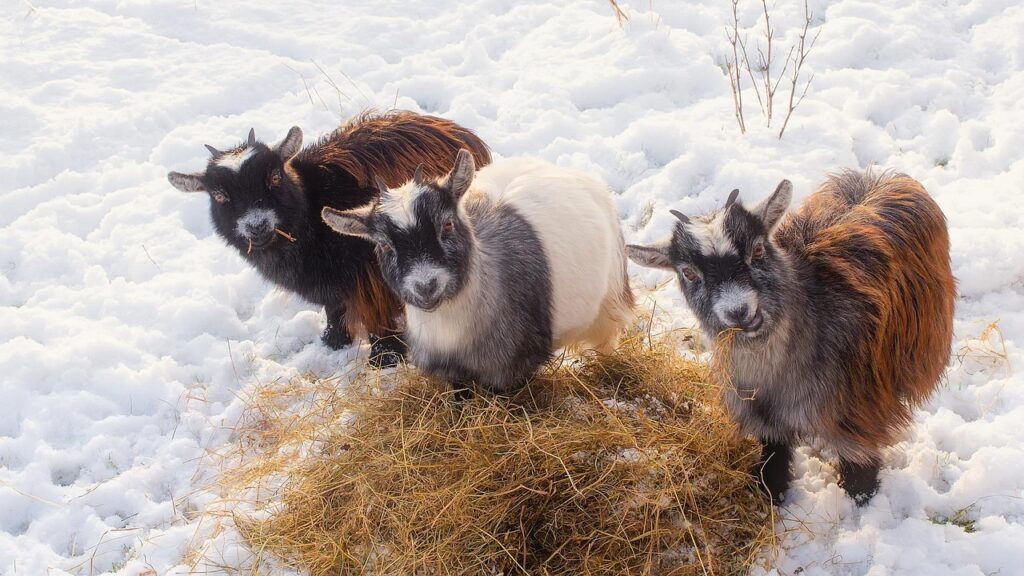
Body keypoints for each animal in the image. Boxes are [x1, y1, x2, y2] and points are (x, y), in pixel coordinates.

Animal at [167, 111, 491, 367]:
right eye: (219, 195)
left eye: (274, 177)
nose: (256, 226)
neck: (311, 214)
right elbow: (334, 307)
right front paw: (333, 340)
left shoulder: (371, 274)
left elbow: (378, 312)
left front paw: (385, 357)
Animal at [321, 149, 635, 393]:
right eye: (385, 244)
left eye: (447, 225)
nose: (426, 285)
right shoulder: (451, 372)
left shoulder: (512, 367)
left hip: (609, 302)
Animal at [626, 171, 955, 504]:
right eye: (689, 273)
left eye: (758, 249)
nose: (739, 311)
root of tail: (878, 176)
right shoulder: (765, 420)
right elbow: (773, 460)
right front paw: (772, 494)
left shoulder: (856, 414)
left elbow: (860, 473)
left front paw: (862, 502)